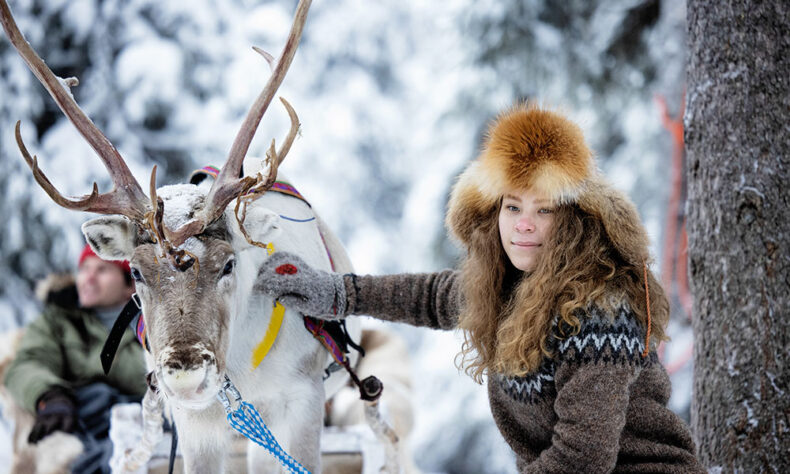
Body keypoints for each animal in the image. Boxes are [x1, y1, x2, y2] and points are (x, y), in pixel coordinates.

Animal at [1, 0, 364, 472]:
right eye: (135, 271)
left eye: (228, 262)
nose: (187, 375)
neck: (241, 374)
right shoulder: (196, 425)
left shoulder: (300, 401)